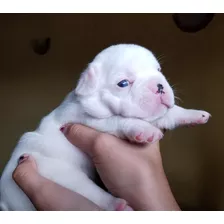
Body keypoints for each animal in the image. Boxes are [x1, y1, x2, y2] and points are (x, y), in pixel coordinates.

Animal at [0, 43, 210, 210]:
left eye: (158, 70)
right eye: (123, 83)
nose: (158, 86)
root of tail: (6, 202)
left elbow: (168, 114)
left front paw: (193, 114)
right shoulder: (88, 118)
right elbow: (119, 120)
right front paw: (144, 130)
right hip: (60, 174)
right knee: (90, 193)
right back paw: (117, 205)